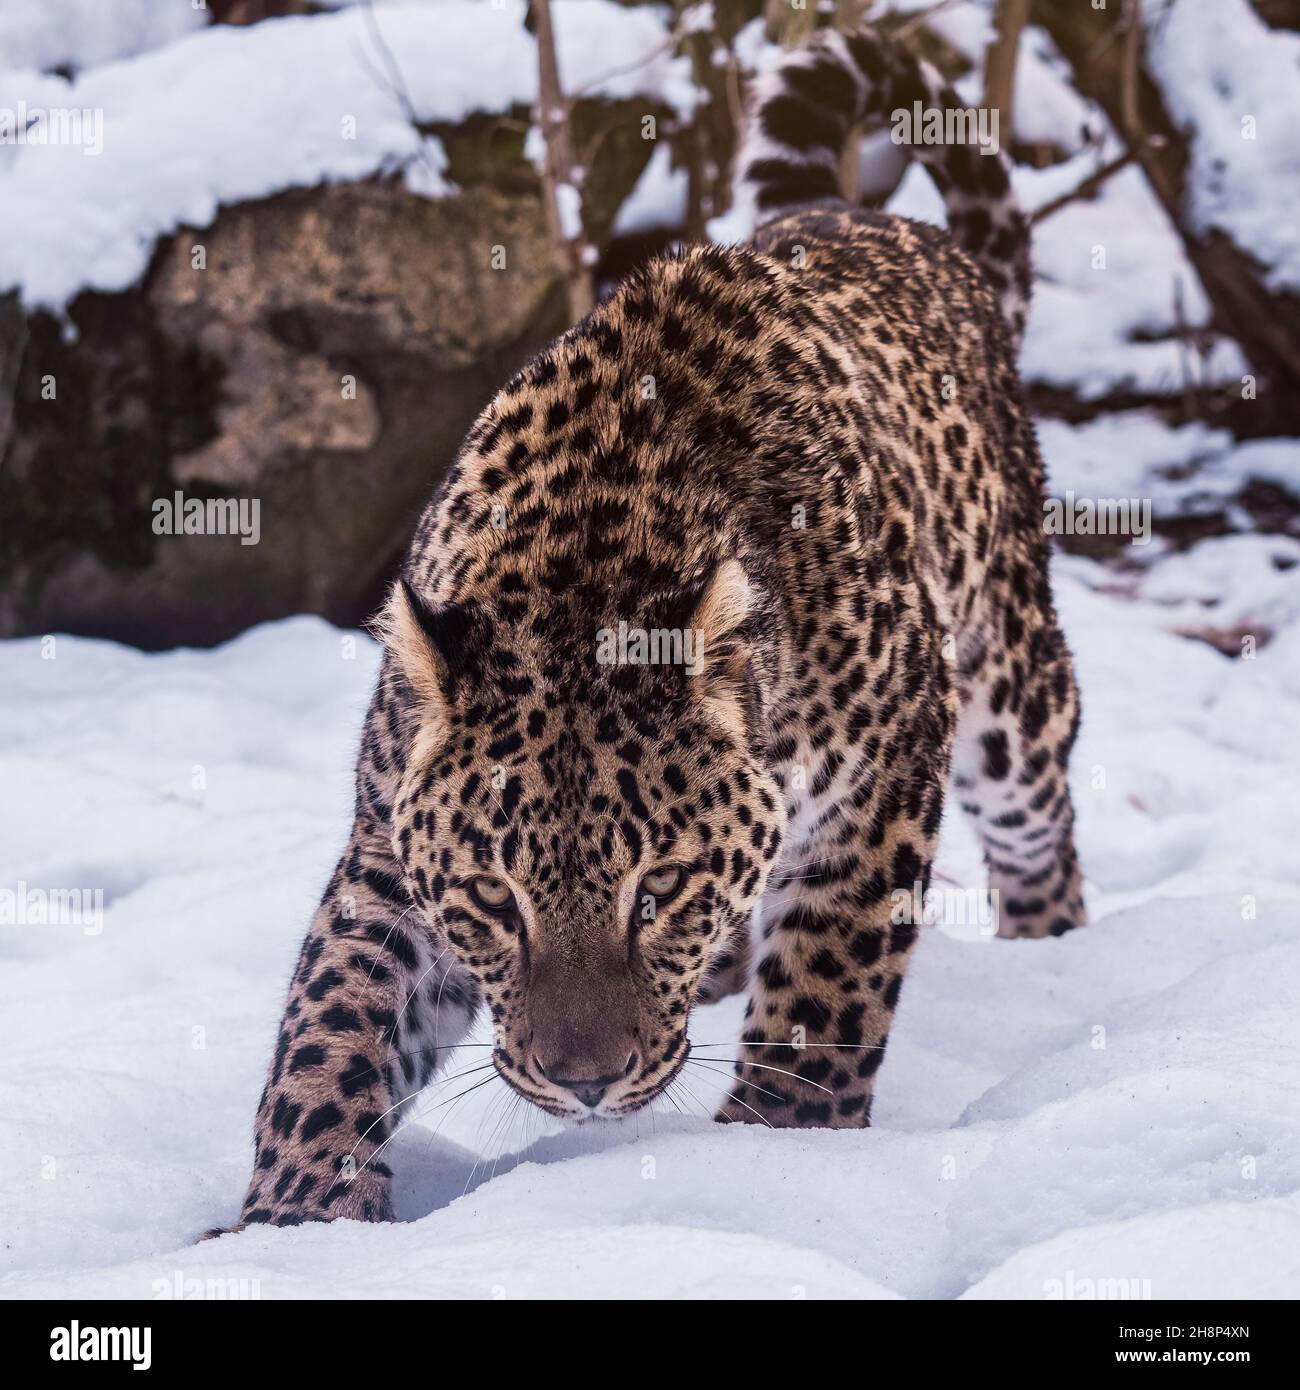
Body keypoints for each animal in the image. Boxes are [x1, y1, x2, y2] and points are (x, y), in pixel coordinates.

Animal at [208, 24, 1090, 1239]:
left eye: (658, 889)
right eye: (496, 900)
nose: (583, 1083)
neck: (587, 556)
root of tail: (884, 225)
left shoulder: (888, 761)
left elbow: (828, 979)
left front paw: (778, 1148)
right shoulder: (389, 842)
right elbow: (333, 1021)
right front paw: (300, 1217)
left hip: (1004, 685)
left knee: (1039, 816)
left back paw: (1057, 952)